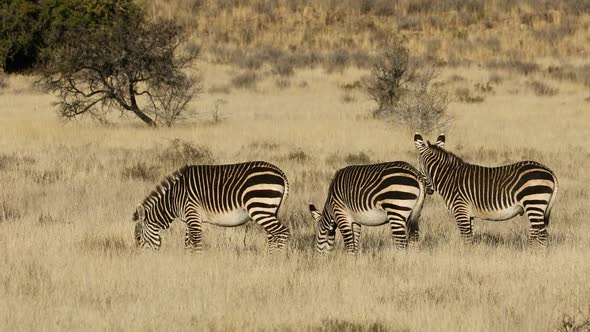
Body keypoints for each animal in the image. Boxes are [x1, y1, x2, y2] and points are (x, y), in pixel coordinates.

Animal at [133, 161, 292, 252]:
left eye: (139, 238)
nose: (142, 263)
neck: (173, 199)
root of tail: (281, 173)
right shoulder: (191, 217)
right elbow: (188, 242)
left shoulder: (192, 212)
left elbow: (196, 242)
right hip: (270, 210)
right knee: (273, 235)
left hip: (259, 207)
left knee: (282, 232)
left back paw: (276, 261)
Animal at [416, 134, 560, 248]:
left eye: (419, 166)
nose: (428, 190)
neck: (448, 177)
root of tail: (549, 171)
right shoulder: (469, 214)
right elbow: (471, 237)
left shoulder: (460, 210)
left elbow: (466, 238)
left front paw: (466, 258)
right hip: (537, 206)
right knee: (538, 234)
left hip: (533, 202)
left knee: (542, 235)